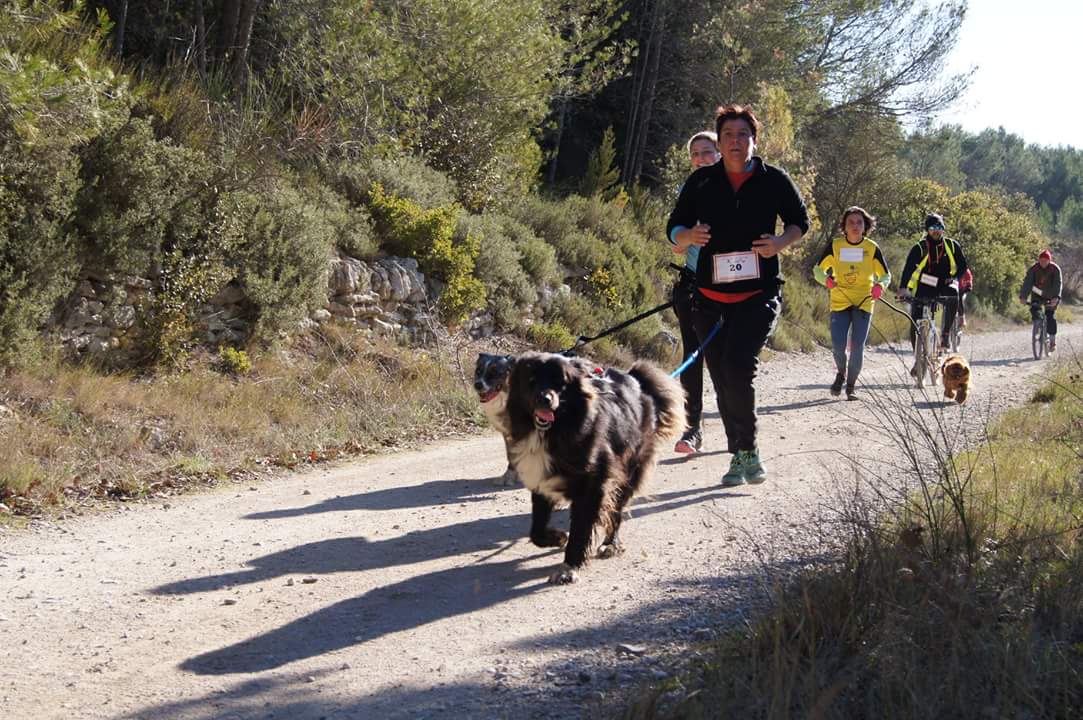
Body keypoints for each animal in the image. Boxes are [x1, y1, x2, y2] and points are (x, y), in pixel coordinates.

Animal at [472, 352, 517, 485]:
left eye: (495, 372)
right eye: (478, 371)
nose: (477, 384)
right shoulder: (507, 433)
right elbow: (511, 456)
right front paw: (509, 476)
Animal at [504, 350, 684, 580]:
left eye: (561, 383)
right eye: (531, 380)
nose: (544, 399)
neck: (553, 432)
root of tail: (636, 379)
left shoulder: (593, 485)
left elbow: (581, 527)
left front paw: (570, 566)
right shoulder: (541, 480)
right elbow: (536, 530)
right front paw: (558, 537)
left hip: (627, 471)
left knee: (616, 511)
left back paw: (610, 544)